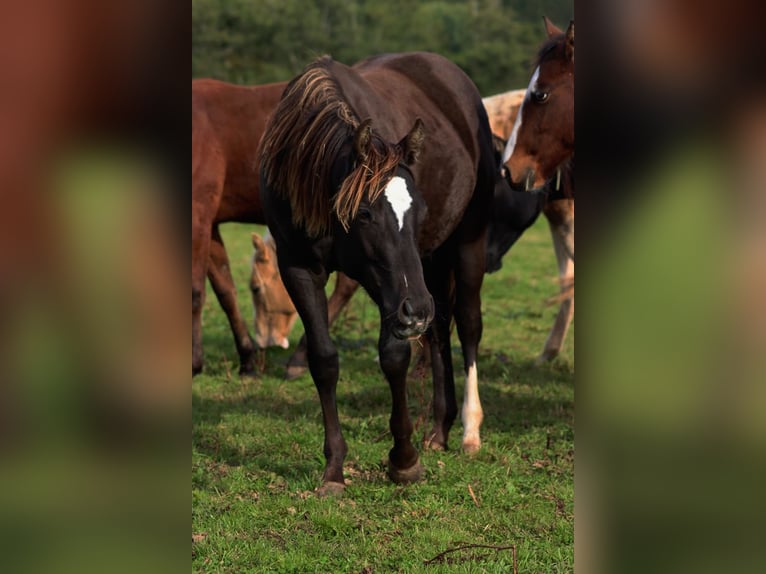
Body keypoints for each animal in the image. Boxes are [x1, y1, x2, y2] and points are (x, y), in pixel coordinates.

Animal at [259, 53, 496, 494]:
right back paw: (440, 428)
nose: (415, 310)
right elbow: (324, 359)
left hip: (464, 244)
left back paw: (469, 430)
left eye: (419, 209)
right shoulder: (298, 268)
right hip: (429, 264)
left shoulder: (391, 287)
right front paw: (334, 468)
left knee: (468, 325)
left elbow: (394, 356)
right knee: (439, 330)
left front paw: (403, 459)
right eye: (365, 214)